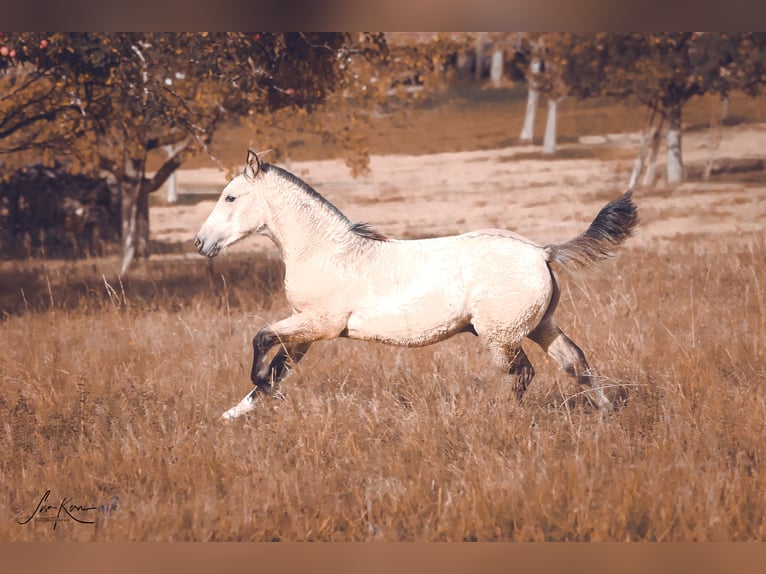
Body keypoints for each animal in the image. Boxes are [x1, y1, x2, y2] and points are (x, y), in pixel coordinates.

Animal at [195, 151, 640, 420]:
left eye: (230, 197)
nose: (201, 243)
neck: (327, 251)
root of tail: (542, 252)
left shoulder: (320, 323)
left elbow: (261, 344)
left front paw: (266, 398)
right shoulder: (306, 330)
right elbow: (276, 368)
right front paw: (232, 416)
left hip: (500, 336)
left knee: (521, 374)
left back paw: (501, 417)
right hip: (541, 326)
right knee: (575, 363)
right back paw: (607, 413)